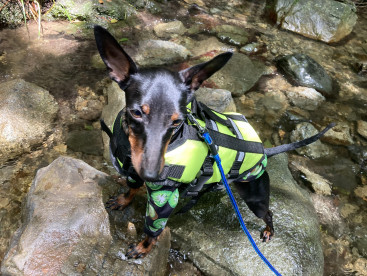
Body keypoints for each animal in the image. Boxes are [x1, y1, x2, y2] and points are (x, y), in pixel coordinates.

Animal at [95, 25, 336, 258]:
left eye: (177, 121)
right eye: (136, 113)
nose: (152, 174)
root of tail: (263, 152)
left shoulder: (164, 197)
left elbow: (153, 229)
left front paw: (143, 248)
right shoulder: (134, 173)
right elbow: (131, 188)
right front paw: (123, 200)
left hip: (254, 195)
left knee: (268, 212)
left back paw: (269, 230)